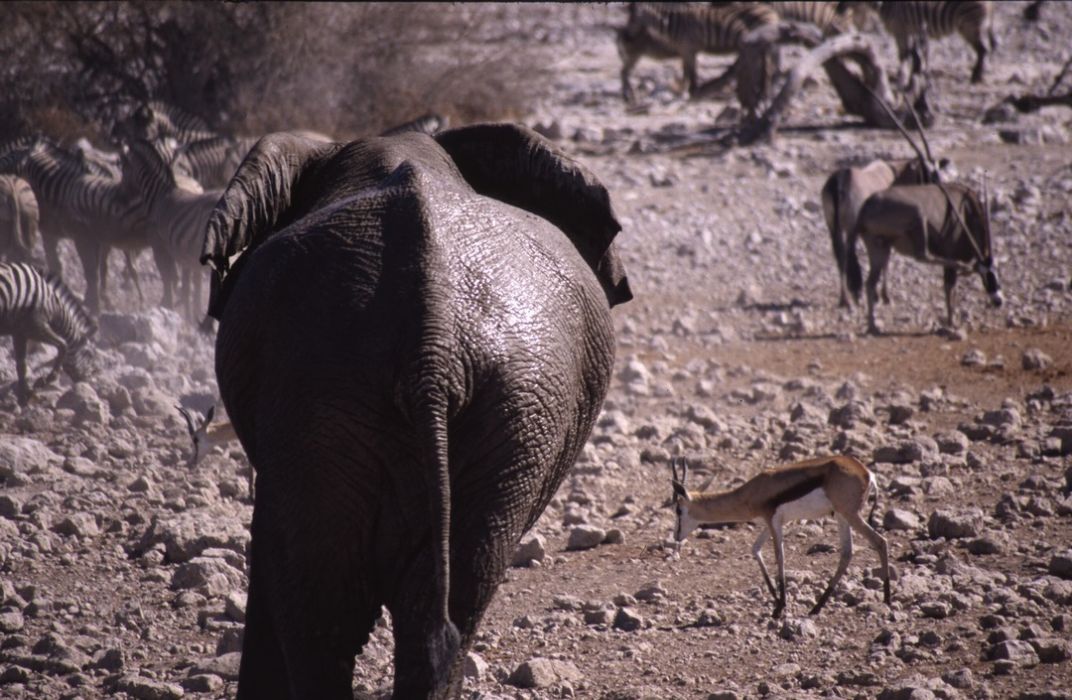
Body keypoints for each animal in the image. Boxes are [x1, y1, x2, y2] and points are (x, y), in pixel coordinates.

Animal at [0, 135, 151, 313]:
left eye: (9, 159)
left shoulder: (80, 238)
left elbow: (91, 270)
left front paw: (94, 304)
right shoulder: (83, 237)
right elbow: (92, 269)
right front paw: (95, 301)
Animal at [0, 260, 96, 403]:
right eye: (90, 356)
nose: (87, 383)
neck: (53, 303)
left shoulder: (19, 332)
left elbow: (21, 364)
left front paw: (25, 394)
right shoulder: (35, 325)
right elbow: (63, 345)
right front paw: (45, 381)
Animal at [118, 138, 221, 317]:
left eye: (123, 169)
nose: (121, 197)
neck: (158, 196)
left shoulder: (160, 247)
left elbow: (168, 279)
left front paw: (169, 308)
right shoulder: (184, 254)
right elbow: (187, 286)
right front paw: (189, 316)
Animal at [617, 1, 784, 102]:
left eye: (632, 18)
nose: (626, 36)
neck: (673, 25)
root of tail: (771, 12)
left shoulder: (688, 49)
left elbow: (690, 73)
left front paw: (691, 92)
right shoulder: (686, 51)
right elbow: (688, 73)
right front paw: (687, 92)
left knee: (768, 66)